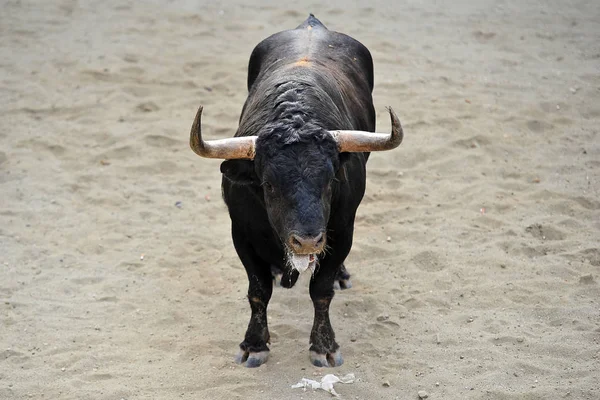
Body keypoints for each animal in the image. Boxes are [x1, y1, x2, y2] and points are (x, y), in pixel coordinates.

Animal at [188, 14, 404, 366]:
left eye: (330, 180)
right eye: (268, 185)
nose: (307, 241)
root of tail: (311, 24)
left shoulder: (342, 231)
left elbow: (321, 290)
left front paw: (324, 346)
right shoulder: (241, 234)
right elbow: (258, 291)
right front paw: (254, 345)